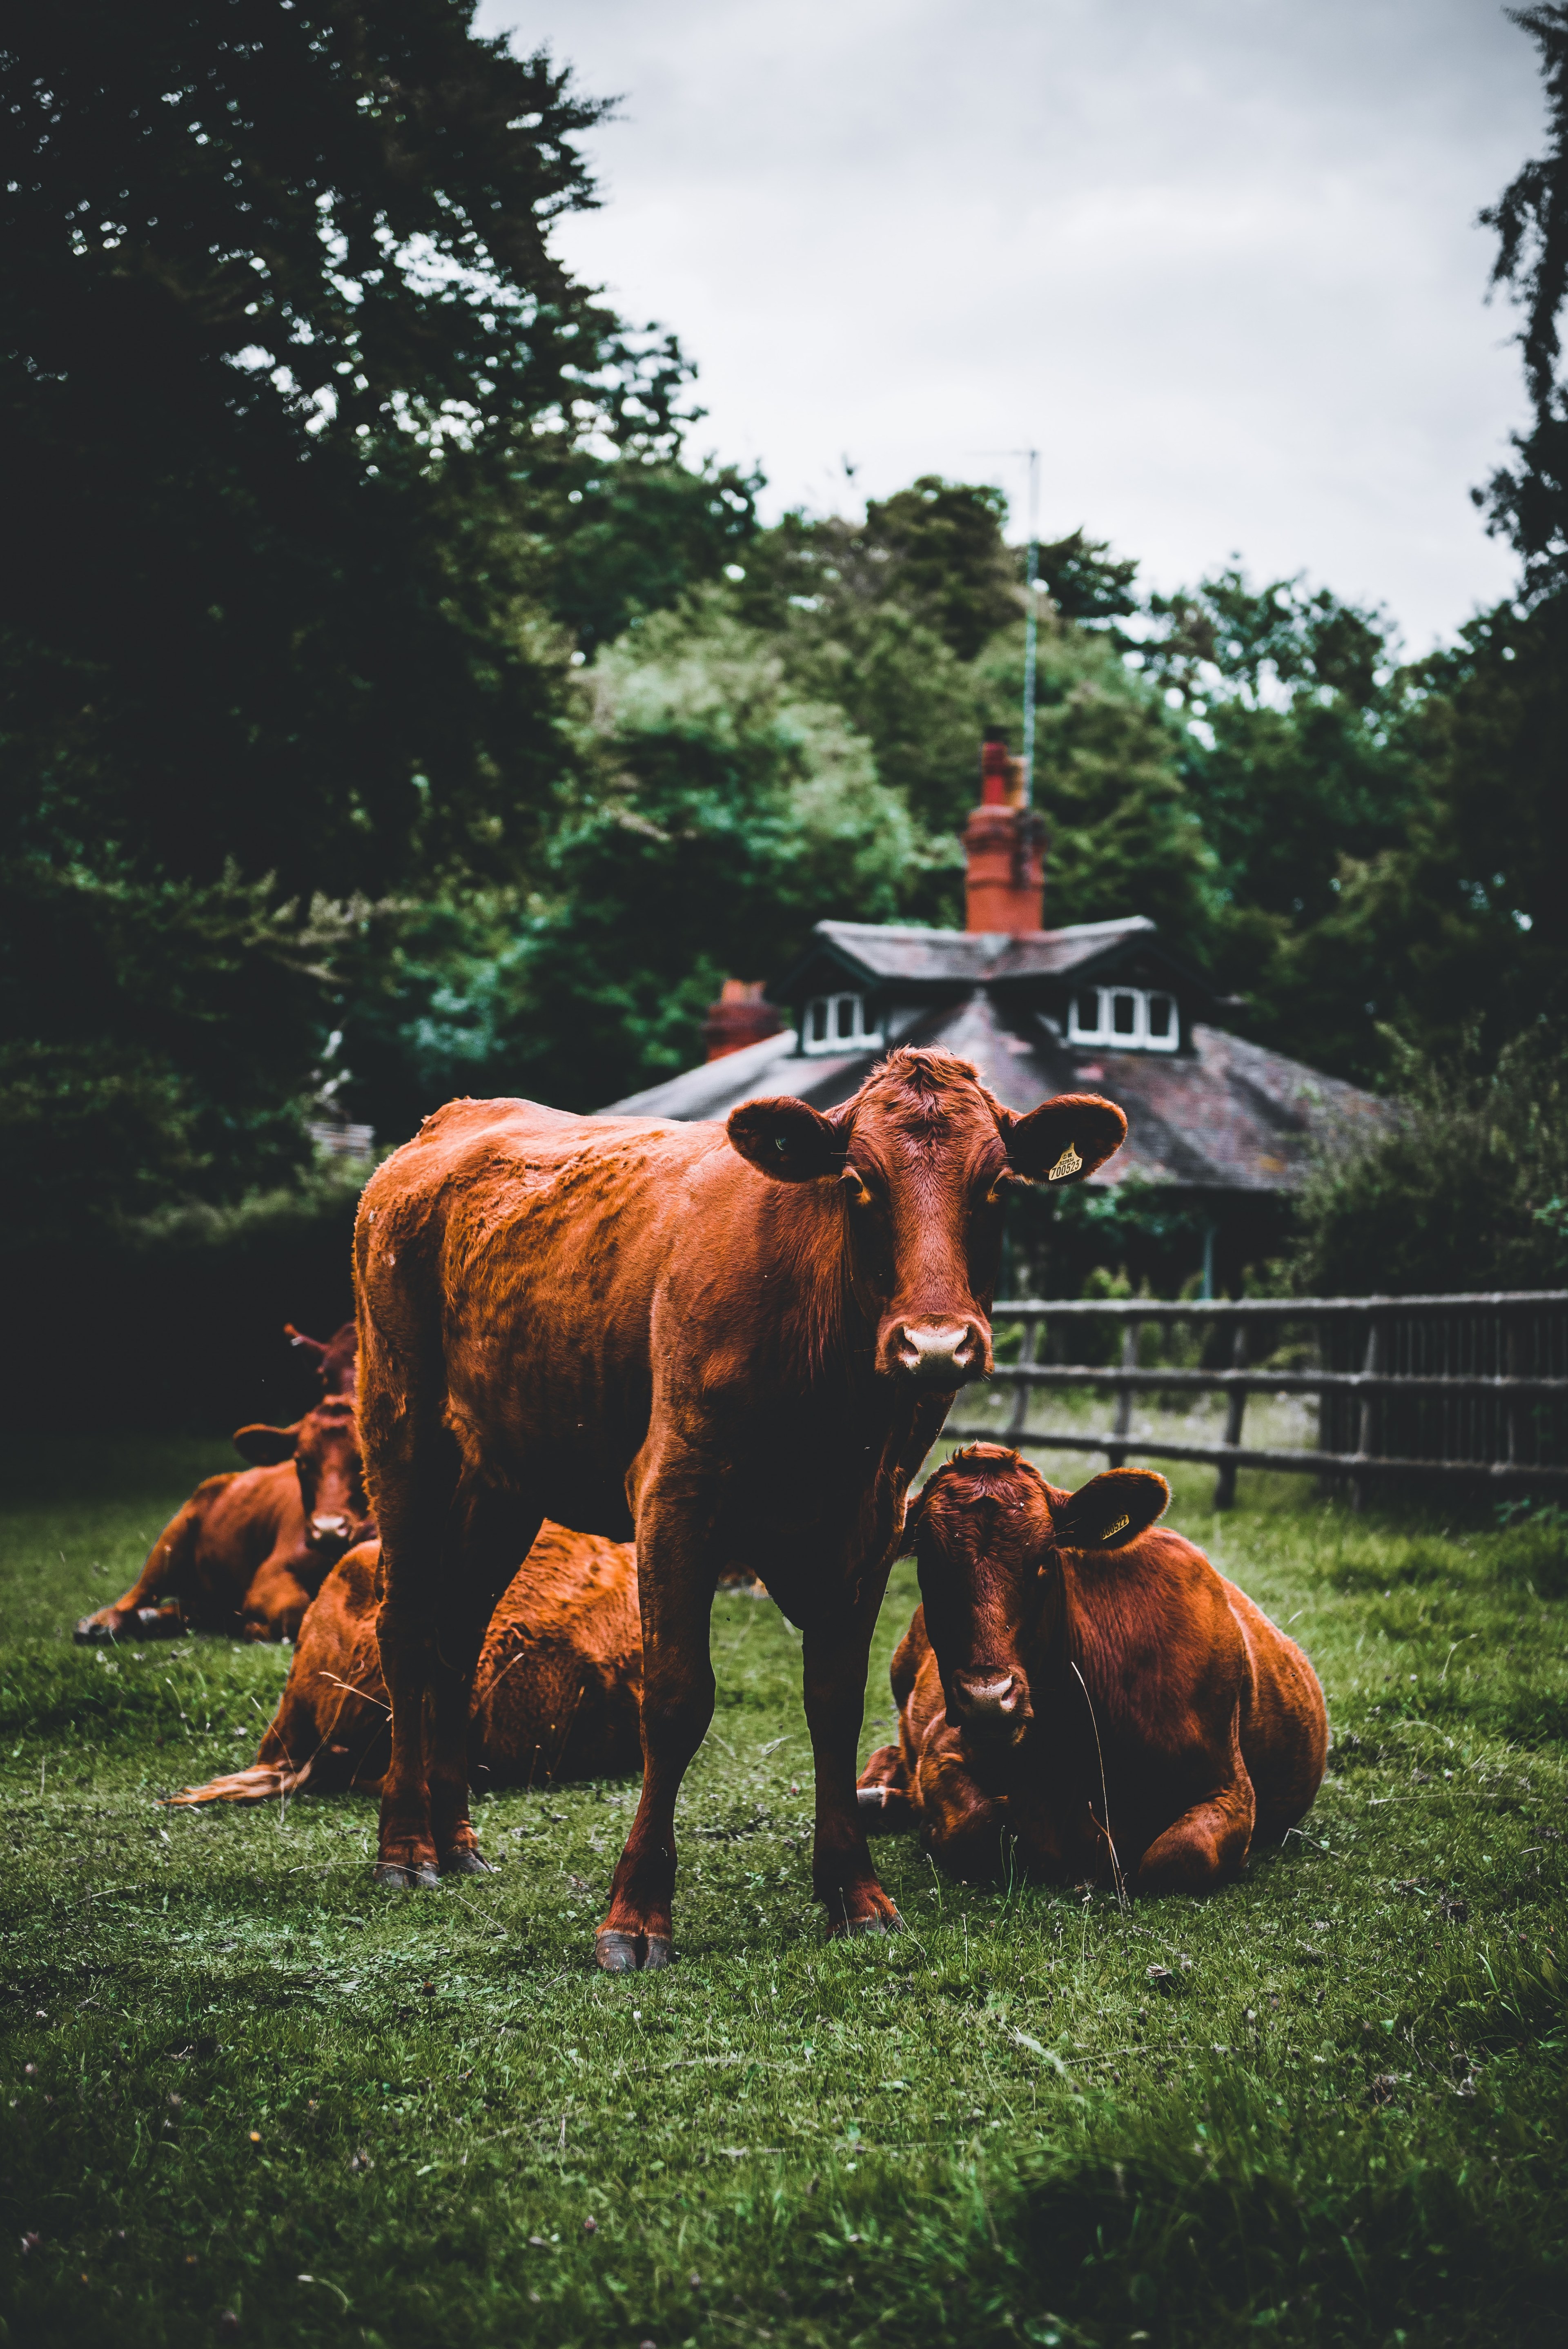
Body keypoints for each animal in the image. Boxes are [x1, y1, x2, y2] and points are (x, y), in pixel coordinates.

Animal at [74, 1323, 374, 1645]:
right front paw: (253, 1627)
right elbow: (295, 1610)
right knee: (140, 1592)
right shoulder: (270, 1576)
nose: (328, 1530)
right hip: (173, 1537)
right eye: (300, 1461)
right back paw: (102, 1623)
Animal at [353, 1048, 1127, 1968]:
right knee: (405, 1626)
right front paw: (637, 1913)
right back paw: (405, 1845)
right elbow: (677, 1699)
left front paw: (855, 1893)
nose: (935, 1342)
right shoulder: (672, 1500)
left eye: (997, 1183)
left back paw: (456, 1836)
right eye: (858, 1181)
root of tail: (449, 1122)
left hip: (502, 1475)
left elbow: (833, 1701)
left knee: (457, 1632)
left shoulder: (866, 1528)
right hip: (400, 1427)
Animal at [856, 1444, 1327, 1894]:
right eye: (929, 1563)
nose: (987, 1698)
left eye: (1046, 1557)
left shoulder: (1230, 1789)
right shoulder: (943, 1743)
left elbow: (1178, 1855)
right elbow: (980, 1823)